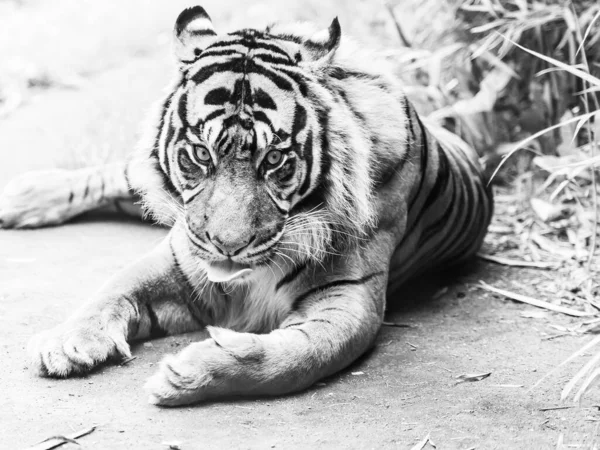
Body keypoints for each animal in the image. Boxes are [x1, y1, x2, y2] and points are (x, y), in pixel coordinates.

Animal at [0, 6, 492, 408]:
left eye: (273, 160)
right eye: (201, 154)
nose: (227, 246)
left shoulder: (350, 301)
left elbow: (298, 356)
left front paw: (189, 373)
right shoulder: (179, 262)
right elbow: (110, 290)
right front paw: (66, 343)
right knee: (116, 173)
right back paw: (23, 195)